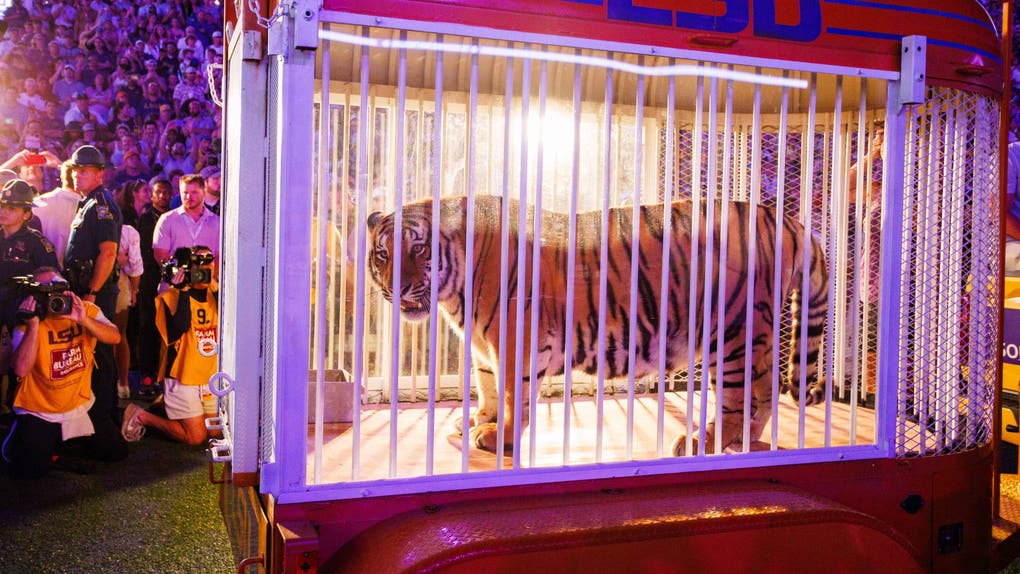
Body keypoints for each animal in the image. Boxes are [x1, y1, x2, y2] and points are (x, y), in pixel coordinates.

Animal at [366, 194, 828, 456]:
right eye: (383, 254)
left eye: (419, 249)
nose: (396, 287)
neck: (452, 292)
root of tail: (788, 221)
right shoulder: (482, 345)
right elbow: (487, 383)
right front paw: (479, 419)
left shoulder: (514, 340)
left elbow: (514, 394)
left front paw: (501, 438)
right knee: (764, 390)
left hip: (731, 331)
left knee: (743, 395)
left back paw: (702, 442)